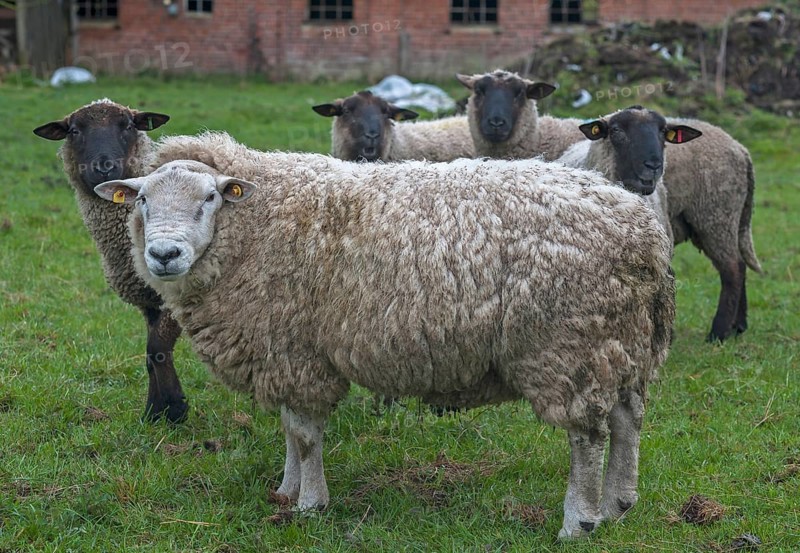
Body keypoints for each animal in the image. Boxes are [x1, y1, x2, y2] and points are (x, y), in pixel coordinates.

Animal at [33, 99, 189, 423]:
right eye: (74, 130)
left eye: (128, 126)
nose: (105, 167)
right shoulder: (149, 298)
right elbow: (150, 354)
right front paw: (154, 412)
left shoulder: (176, 291)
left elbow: (157, 347)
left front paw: (174, 408)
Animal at [94, 131, 675, 539]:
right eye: (142, 201)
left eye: (211, 198)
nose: (164, 254)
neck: (258, 222)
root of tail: (642, 231)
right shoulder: (285, 351)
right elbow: (290, 430)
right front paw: (285, 490)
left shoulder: (297, 353)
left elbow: (306, 435)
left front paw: (310, 505)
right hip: (619, 339)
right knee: (628, 417)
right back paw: (619, 505)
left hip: (569, 345)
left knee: (587, 435)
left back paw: (579, 521)